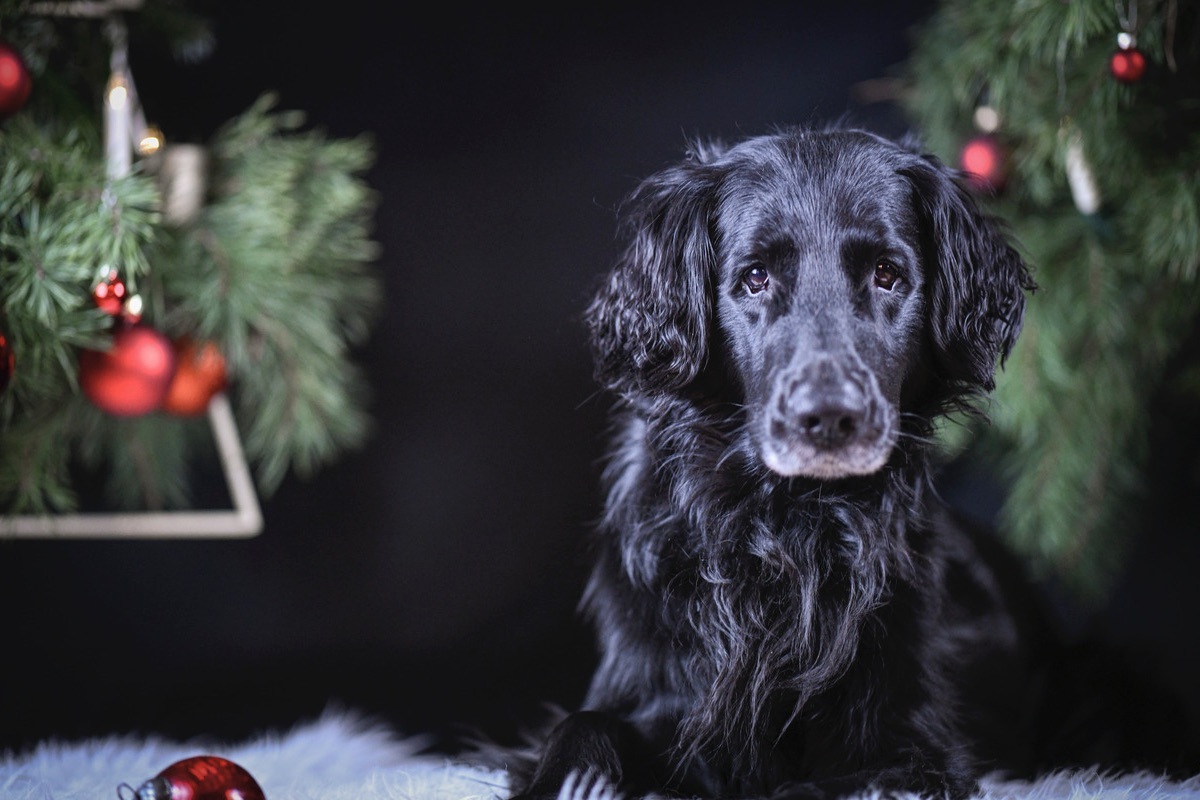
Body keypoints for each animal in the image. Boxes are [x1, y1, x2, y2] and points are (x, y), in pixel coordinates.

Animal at [506, 126, 1041, 800]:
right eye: (756, 277)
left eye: (888, 274)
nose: (829, 419)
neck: (788, 528)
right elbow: (583, 726)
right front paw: (577, 780)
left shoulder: (918, 747)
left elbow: (818, 784)